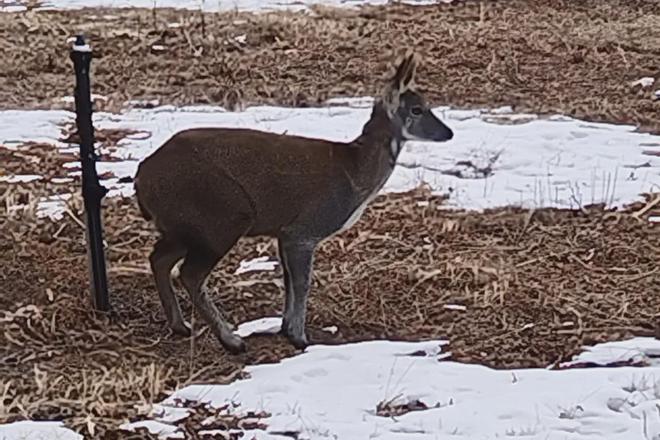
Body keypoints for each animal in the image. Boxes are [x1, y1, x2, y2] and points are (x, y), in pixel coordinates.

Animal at [134, 50, 454, 354]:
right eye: (417, 109)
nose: (449, 133)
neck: (354, 174)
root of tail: (141, 178)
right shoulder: (305, 228)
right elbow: (302, 282)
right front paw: (300, 339)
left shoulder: (283, 232)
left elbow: (288, 280)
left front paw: (286, 329)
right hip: (221, 215)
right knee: (190, 273)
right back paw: (231, 341)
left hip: (183, 223)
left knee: (159, 258)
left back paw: (180, 326)